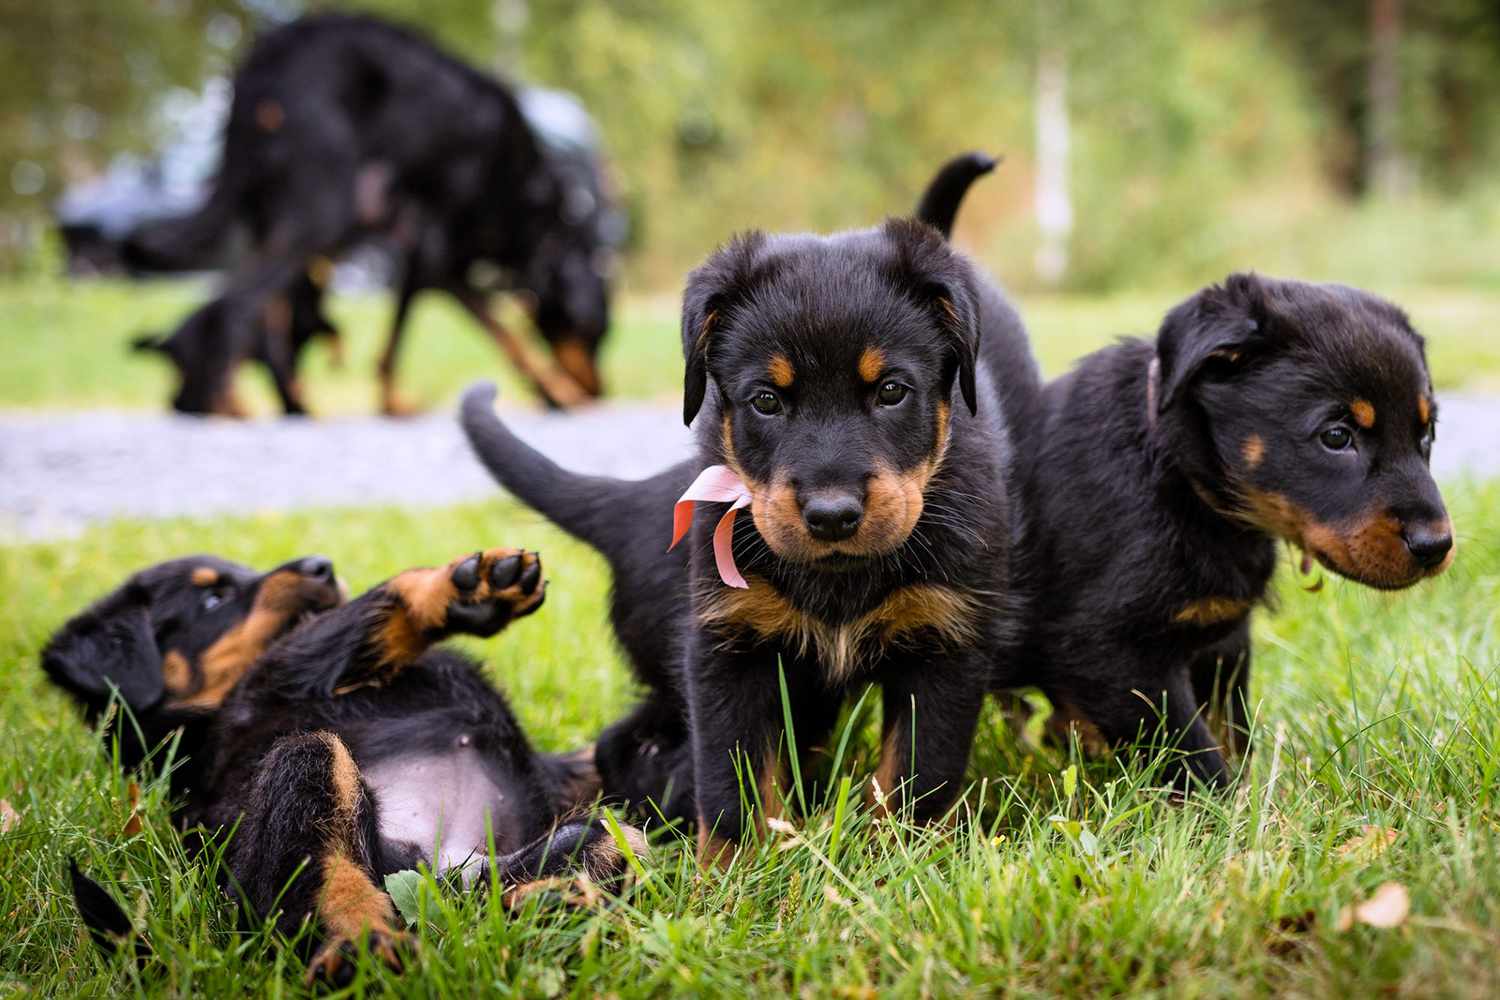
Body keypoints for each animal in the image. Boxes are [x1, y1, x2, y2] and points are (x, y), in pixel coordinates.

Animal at [43, 551, 642, 983]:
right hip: (307, 763)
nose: (320, 565)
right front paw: (466, 588)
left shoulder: (552, 771)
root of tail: (429, 870)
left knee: (563, 855)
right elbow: (358, 619)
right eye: (214, 598)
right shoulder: (276, 681)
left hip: (571, 844)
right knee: (312, 887)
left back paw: (551, 900)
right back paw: (360, 950)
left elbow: (594, 758)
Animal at [127, 12, 621, 410]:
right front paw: (556, 395)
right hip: (322, 213)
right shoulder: (430, 254)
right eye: (593, 331)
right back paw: (225, 406)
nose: (600, 392)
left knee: (257, 318)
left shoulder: (436, 263)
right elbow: (485, 334)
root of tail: (263, 61)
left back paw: (281, 407)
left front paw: (552, 393)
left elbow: (497, 335)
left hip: (277, 219)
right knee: (234, 311)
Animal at [459, 152, 1044, 863]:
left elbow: (914, 775)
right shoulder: (728, 642)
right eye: (766, 400)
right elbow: (732, 775)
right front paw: (732, 872)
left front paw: (899, 857)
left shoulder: (944, 641)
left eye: (892, 391)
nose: (831, 514)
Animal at [1002, 274, 1458, 791]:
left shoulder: (1222, 640)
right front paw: (1230, 808)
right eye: (1336, 437)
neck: (1183, 481)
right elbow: (1194, 757)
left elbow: (1230, 732)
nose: (1436, 545)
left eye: (1427, 433)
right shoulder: (1112, 653)